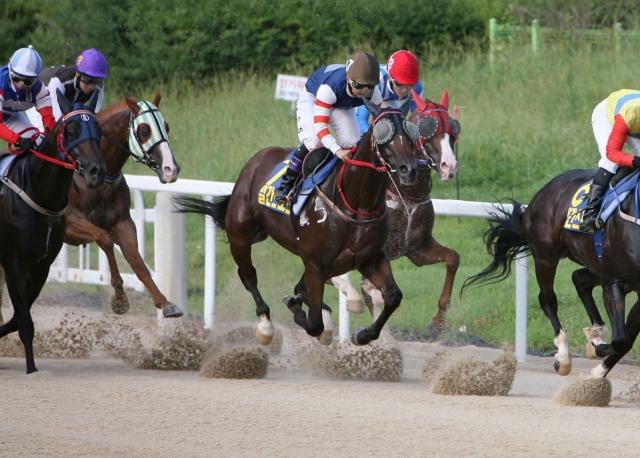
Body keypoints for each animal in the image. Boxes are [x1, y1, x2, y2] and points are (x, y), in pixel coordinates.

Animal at [0, 89, 106, 372]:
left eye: (98, 129)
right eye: (71, 130)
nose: (97, 171)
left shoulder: (41, 266)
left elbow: (18, 317)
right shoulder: (13, 263)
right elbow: (24, 321)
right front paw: (31, 369)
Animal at [0, 90, 181, 326]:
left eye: (166, 126)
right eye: (144, 131)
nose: (171, 170)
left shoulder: (123, 222)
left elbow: (137, 261)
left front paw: (165, 303)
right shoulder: (69, 225)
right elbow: (105, 239)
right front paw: (120, 299)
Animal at [176, 99, 420, 344]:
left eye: (410, 130)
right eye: (384, 131)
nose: (409, 169)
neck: (355, 204)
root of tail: (256, 159)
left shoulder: (370, 258)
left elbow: (393, 296)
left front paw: (363, 334)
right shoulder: (315, 263)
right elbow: (313, 323)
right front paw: (298, 309)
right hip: (240, 235)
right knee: (248, 276)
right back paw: (265, 324)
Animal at [330, 87, 460, 342]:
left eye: (452, 129)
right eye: (427, 129)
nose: (449, 166)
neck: (406, 196)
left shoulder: (416, 249)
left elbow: (453, 258)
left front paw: (438, 323)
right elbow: (372, 291)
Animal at [460, 169, 640, 380]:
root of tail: (544, 191)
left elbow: (626, 340)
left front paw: (598, 368)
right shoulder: (613, 281)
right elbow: (621, 340)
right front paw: (595, 348)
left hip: (592, 263)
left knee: (579, 279)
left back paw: (597, 331)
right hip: (545, 255)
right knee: (548, 300)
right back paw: (564, 355)